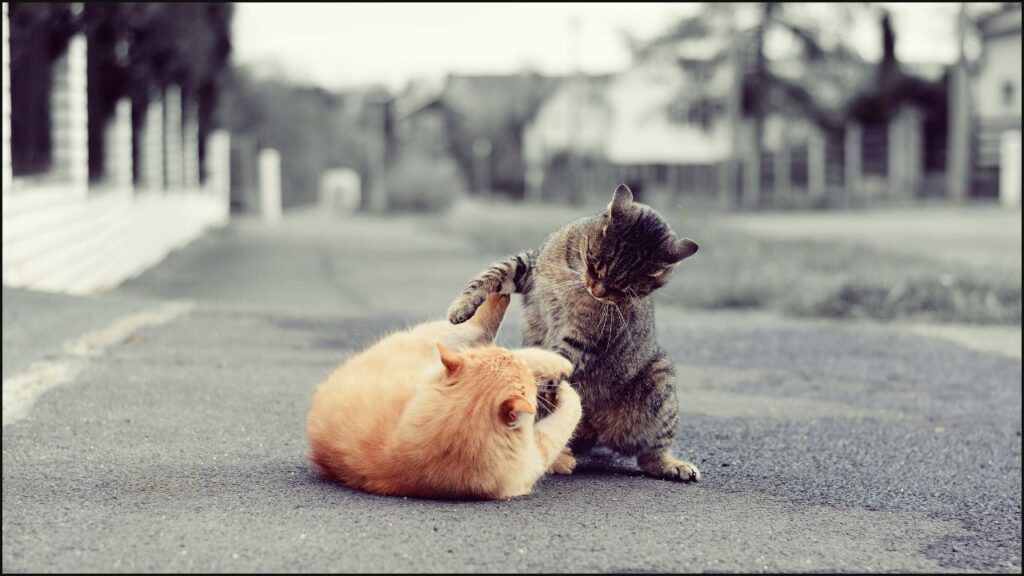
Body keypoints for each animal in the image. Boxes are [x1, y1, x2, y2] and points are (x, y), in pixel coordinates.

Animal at [450, 183, 704, 479]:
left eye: (625, 288)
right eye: (595, 264)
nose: (598, 290)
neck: (576, 281)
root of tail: (595, 433)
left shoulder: (583, 339)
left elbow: (557, 359)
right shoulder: (530, 265)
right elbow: (493, 273)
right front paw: (461, 307)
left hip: (661, 385)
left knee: (651, 454)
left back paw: (674, 465)